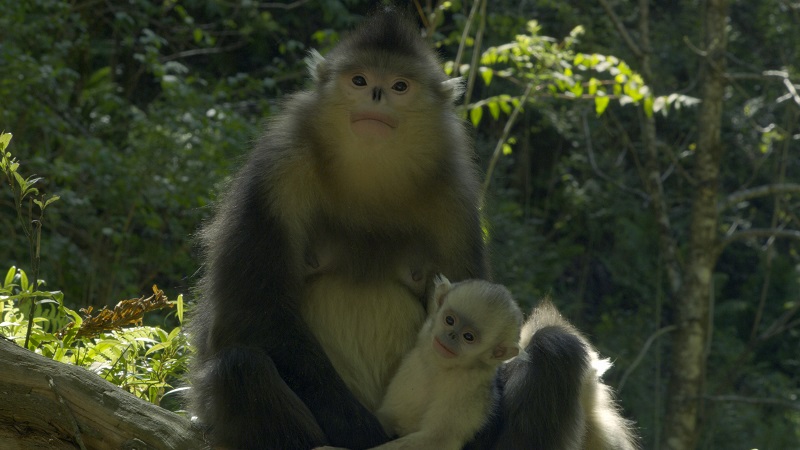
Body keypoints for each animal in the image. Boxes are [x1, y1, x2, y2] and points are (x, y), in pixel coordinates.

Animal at [376, 276, 524, 448]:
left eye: (468, 337)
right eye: (449, 320)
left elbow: (438, 439)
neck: (441, 368)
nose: (451, 335)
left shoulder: (468, 388)